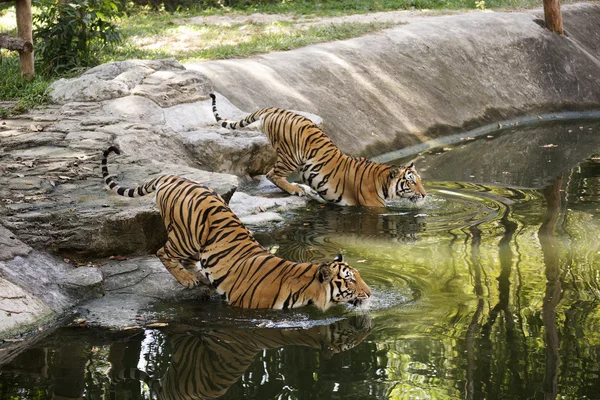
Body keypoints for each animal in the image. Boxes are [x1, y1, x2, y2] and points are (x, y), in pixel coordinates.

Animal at [101, 146, 370, 310]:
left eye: (359, 276)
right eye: (350, 281)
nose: (369, 293)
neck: (306, 287)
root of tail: (173, 177)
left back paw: (198, 276)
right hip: (184, 236)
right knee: (162, 252)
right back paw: (187, 280)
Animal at [210, 94, 426, 206]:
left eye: (420, 181)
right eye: (411, 182)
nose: (424, 194)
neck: (383, 182)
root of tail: (276, 109)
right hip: (291, 155)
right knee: (272, 174)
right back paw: (296, 190)